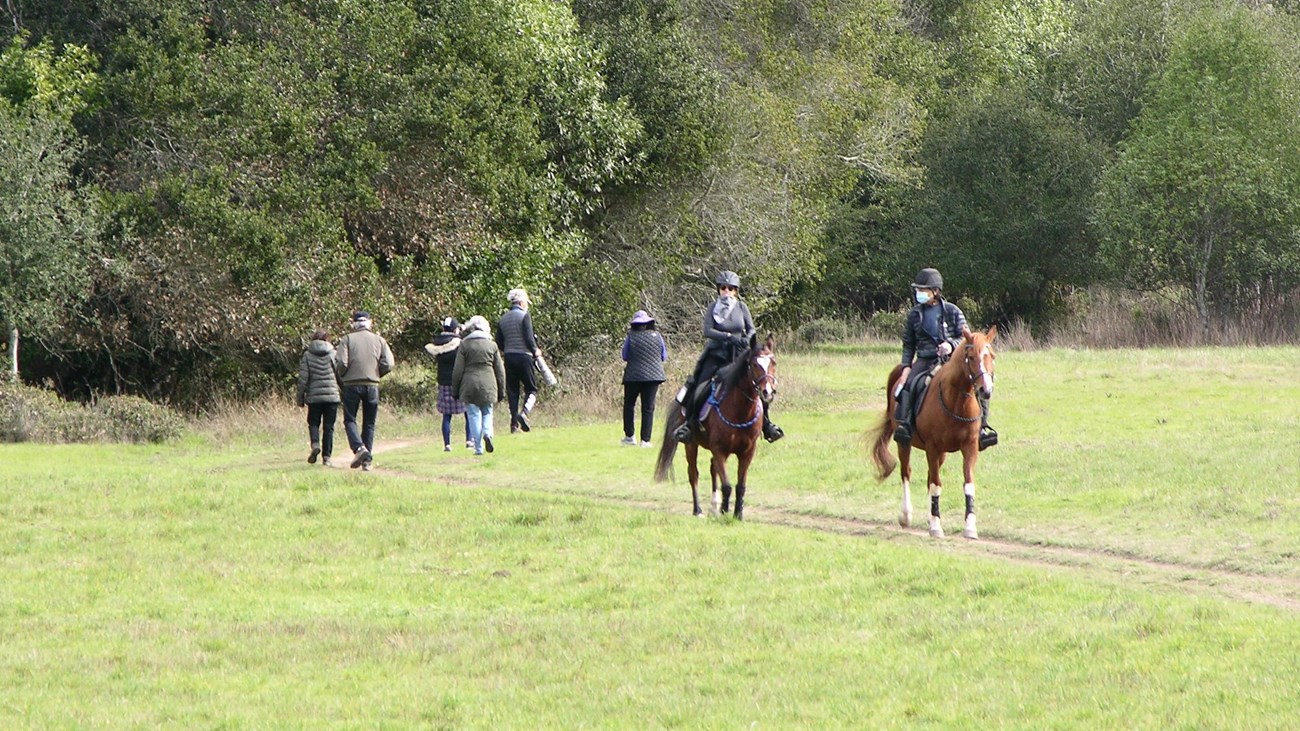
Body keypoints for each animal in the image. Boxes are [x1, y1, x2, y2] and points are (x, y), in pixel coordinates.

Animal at [655, 332, 774, 515]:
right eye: (755, 364)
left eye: (773, 362)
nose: (767, 392)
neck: (740, 410)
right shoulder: (719, 449)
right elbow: (727, 485)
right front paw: (725, 512)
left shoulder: (747, 452)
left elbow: (740, 486)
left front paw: (738, 514)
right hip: (691, 445)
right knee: (694, 474)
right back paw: (698, 510)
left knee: (712, 468)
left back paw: (714, 505)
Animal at [868, 323, 998, 535]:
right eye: (971, 357)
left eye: (992, 356)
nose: (985, 390)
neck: (956, 402)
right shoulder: (932, 446)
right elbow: (936, 484)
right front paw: (937, 526)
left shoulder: (969, 447)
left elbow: (968, 484)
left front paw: (970, 527)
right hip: (905, 444)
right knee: (906, 472)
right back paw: (907, 515)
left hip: (941, 453)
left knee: (929, 476)